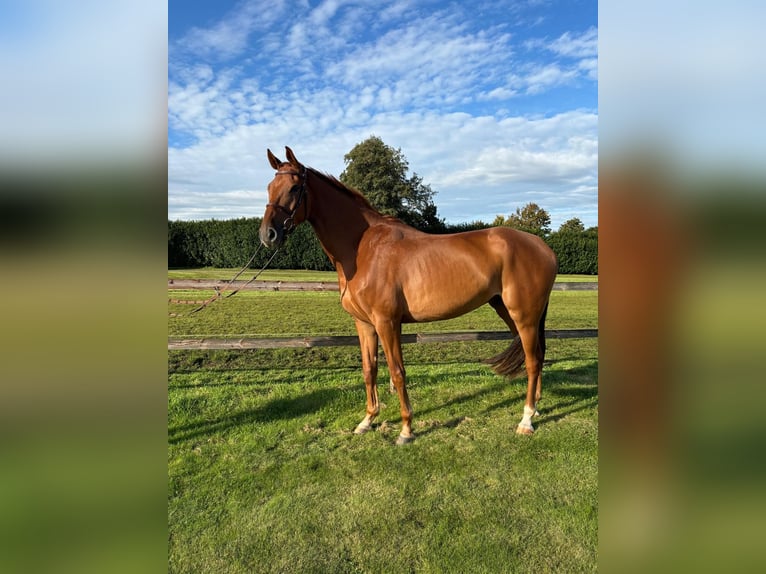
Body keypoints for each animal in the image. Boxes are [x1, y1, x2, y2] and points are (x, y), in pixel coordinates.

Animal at [260, 147, 560, 446]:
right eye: (269, 187)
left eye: (295, 187)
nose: (267, 235)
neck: (363, 248)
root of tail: (542, 246)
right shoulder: (365, 324)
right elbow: (369, 369)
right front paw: (367, 421)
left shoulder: (387, 322)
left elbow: (397, 372)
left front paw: (406, 429)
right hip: (509, 311)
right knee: (537, 354)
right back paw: (536, 406)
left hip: (524, 315)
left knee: (532, 360)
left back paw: (526, 420)